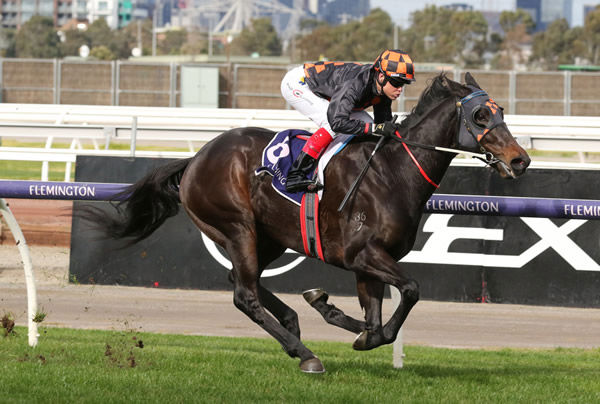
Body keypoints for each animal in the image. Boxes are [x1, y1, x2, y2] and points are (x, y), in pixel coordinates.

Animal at [84, 72, 528, 372]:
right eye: (480, 114)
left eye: (502, 110)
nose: (520, 159)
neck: (393, 172)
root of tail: (195, 159)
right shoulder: (362, 254)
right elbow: (411, 291)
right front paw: (338, 319)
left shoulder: (368, 263)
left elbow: (378, 324)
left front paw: (335, 314)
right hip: (238, 227)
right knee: (243, 294)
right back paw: (305, 354)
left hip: (269, 237)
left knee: (242, 282)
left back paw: (293, 326)